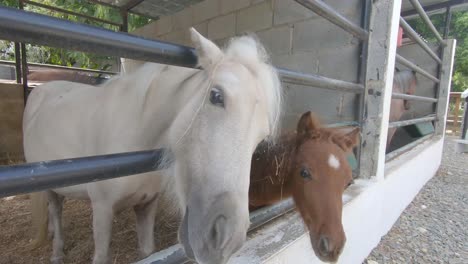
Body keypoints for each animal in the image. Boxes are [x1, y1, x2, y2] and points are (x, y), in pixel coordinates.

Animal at [25, 28, 282, 264]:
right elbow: (101, 255)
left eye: (262, 136)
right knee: (56, 211)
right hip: (50, 187)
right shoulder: (102, 208)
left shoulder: (147, 204)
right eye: (216, 96)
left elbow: (147, 251)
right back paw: (57, 253)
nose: (225, 239)